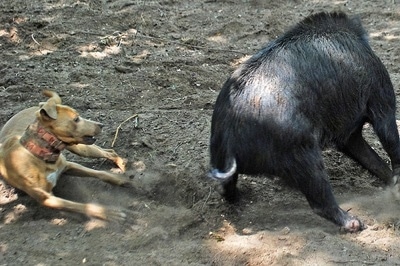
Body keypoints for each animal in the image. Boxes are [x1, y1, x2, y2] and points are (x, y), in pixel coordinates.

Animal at [0, 91, 131, 220]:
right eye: (76, 119)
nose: (101, 124)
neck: (40, 154)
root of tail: (38, 106)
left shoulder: (69, 165)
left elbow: (101, 173)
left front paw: (121, 179)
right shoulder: (47, 198)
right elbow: (79, 205)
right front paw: (108, 213)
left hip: (81, 149)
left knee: (109, 152)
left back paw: (123, 165)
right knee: (109, 151)